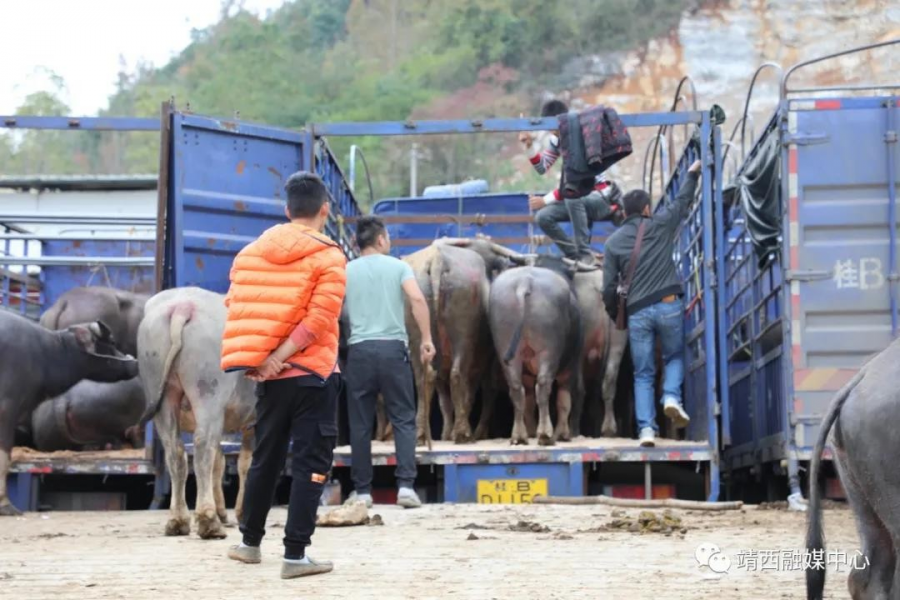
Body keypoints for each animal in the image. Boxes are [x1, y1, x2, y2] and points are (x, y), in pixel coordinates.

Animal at [138, 286, 256, 540]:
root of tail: (183, 307)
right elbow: (245, 464)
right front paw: (241, 512)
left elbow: (221, 463)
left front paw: (224, 511)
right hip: (209, 393)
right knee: (203, 449)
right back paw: (208, 521)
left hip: (162, 392)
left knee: (176, 452)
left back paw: (178, 520)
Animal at [488, 258, 588, 446]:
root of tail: (525, 282)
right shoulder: (571, 366)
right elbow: (564, 400)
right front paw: (563, 433)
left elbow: (528, 402)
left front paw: (531, 431)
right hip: (549, 352)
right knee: (543, 386)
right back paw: (545, 434)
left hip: (507, 351)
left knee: (516, 389)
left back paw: (519, 436)